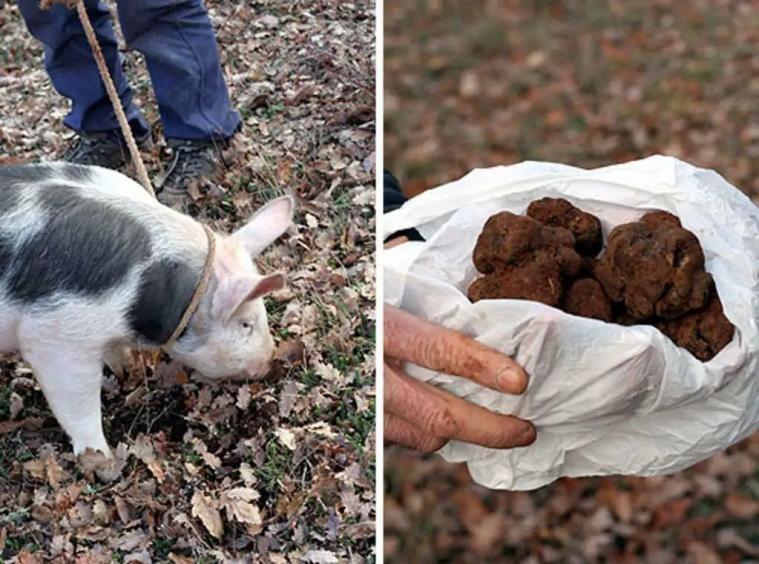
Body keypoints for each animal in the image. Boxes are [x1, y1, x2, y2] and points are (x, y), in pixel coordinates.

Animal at [0, 161, 294, 456]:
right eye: (246, 324)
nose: (270, 363)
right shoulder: (55, 336)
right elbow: (77, 405)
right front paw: (101, 458)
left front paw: (125, 372)